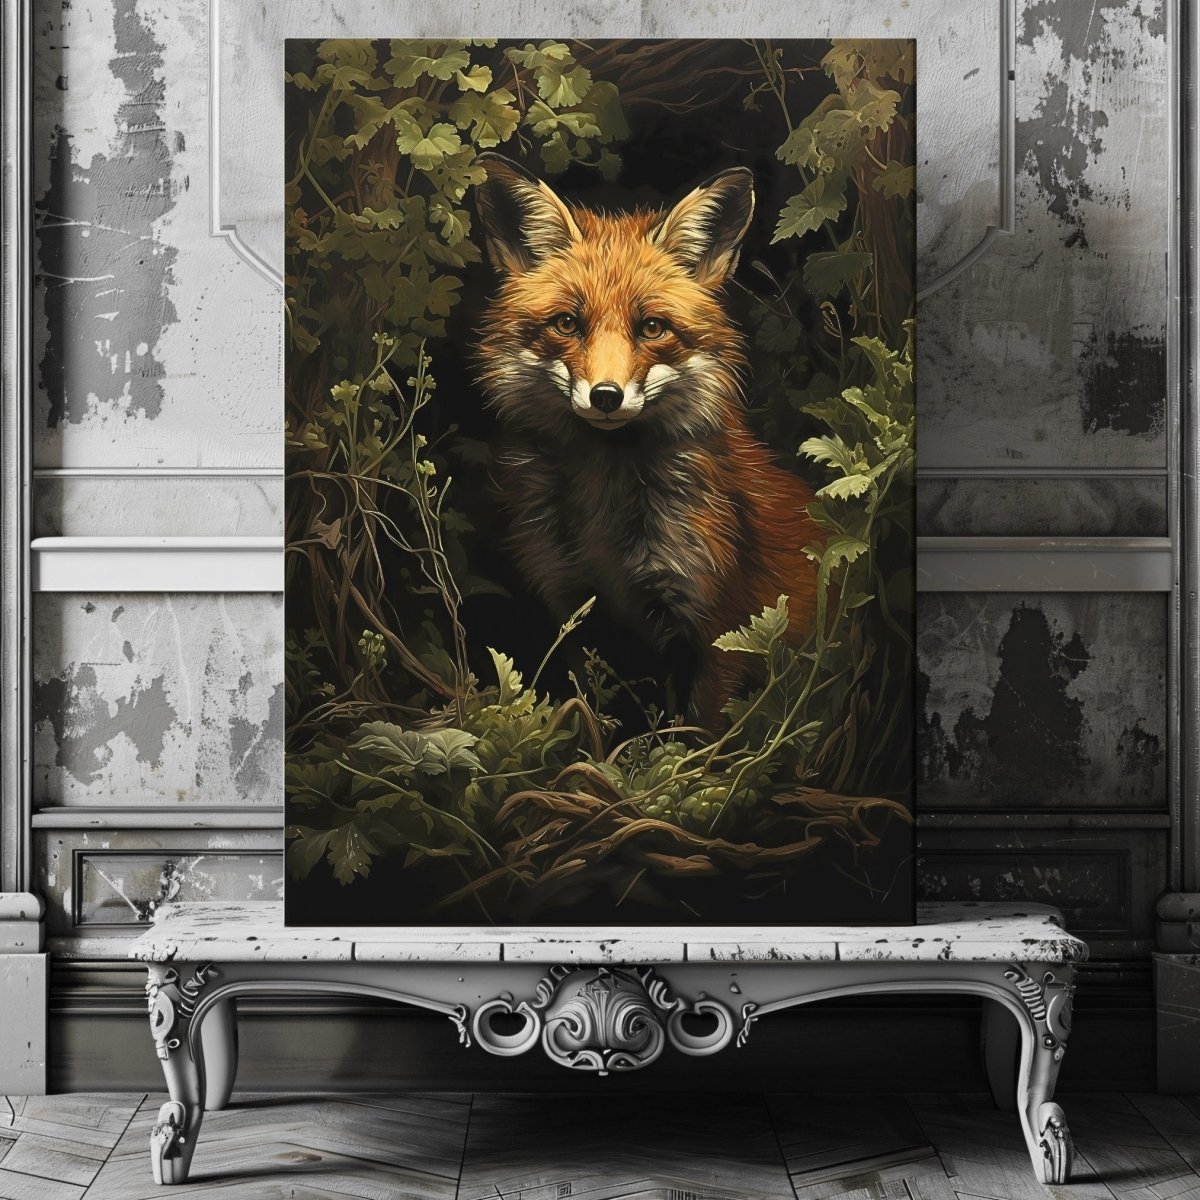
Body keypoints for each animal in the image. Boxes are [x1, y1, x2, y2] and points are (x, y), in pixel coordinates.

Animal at [473, 153, 823, 727]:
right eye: (567, 323)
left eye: (653, 327)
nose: (606, 397)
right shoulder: (576, 611)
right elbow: (595, 723)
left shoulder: (717, 629)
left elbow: (697, 738)